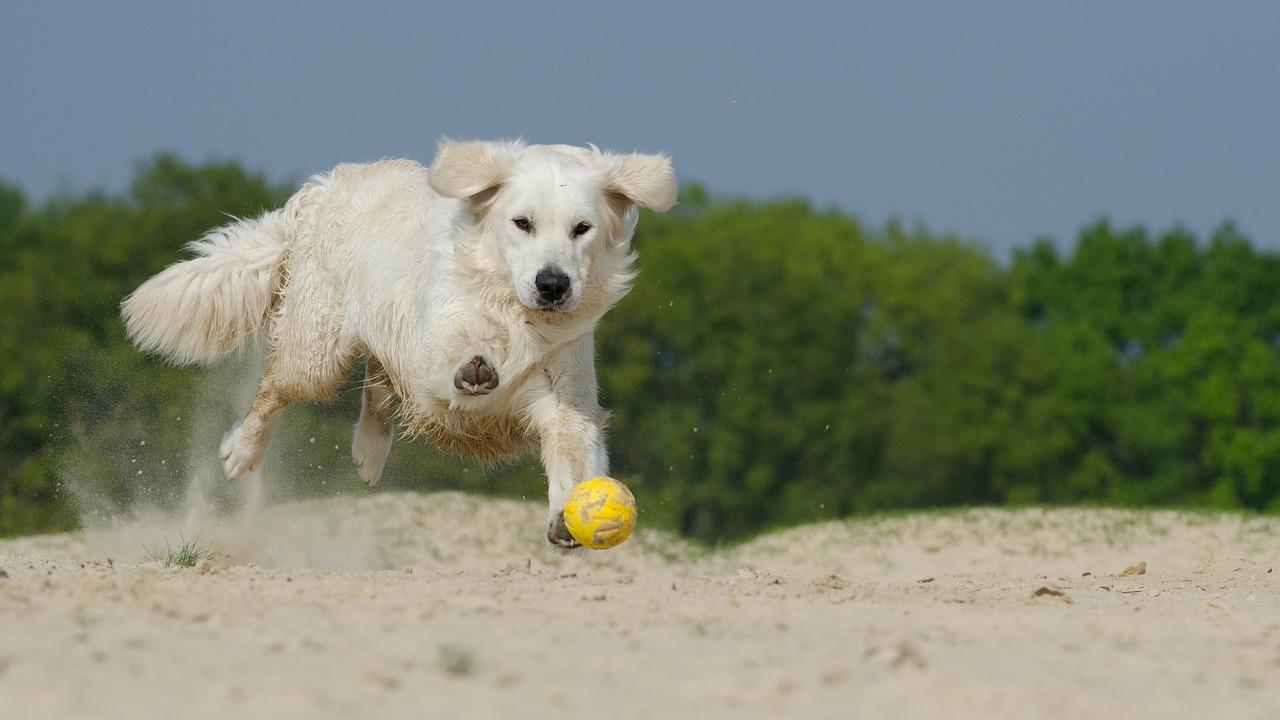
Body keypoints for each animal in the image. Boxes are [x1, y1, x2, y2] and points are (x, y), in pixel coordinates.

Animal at [122, 140, 680, 543]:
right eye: (522, 223)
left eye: (582, 229)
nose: (553, 284)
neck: (513, 313)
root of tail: (322, 189)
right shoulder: (431, 364)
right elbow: (456, 361)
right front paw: (475, 366)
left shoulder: (567, 395)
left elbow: (575, 450)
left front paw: (569, 514)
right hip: (319, 350)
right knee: (276, 388)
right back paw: (241, 452)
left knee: (376, 381)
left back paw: (369, 453)